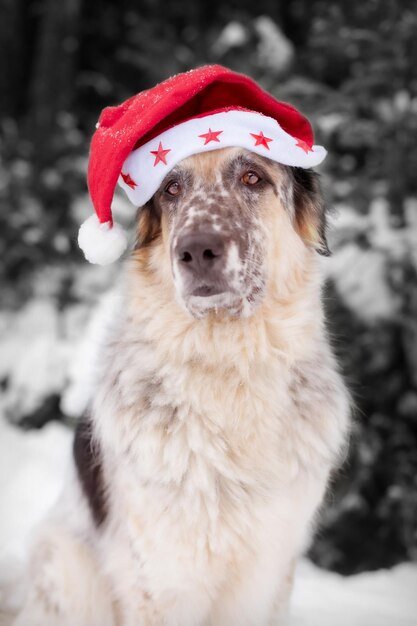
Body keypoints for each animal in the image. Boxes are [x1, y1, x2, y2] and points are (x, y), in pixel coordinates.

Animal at [13, 147, 350, 624]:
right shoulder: (164, 578)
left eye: (252, 177)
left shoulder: (266, 572)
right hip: (67, 567)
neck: (228, 369)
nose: (196, 250)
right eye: (172, 189)